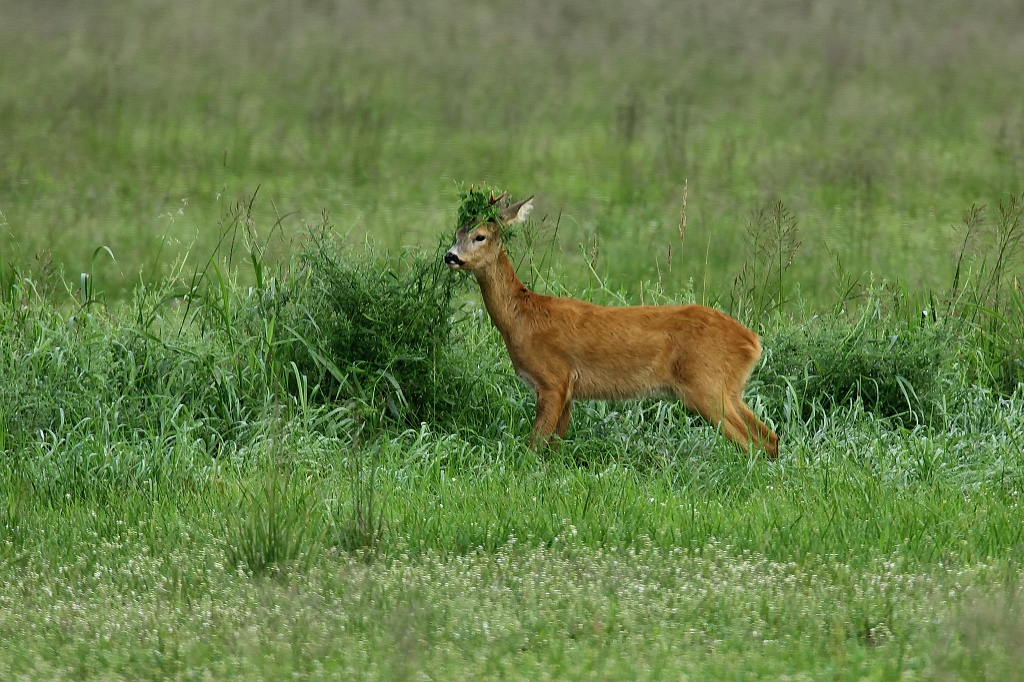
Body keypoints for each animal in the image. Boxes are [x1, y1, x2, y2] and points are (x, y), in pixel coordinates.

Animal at [444, 191, 778, 456]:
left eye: (480, 236)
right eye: (457, 232)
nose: (450, 256)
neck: (523, 319)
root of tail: (753, 341)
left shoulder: (553, 380)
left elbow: (535, 446)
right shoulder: (568, 393)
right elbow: (554, 449)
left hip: (705, 383)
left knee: (750, 441)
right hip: (729, 388)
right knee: (769, 436)